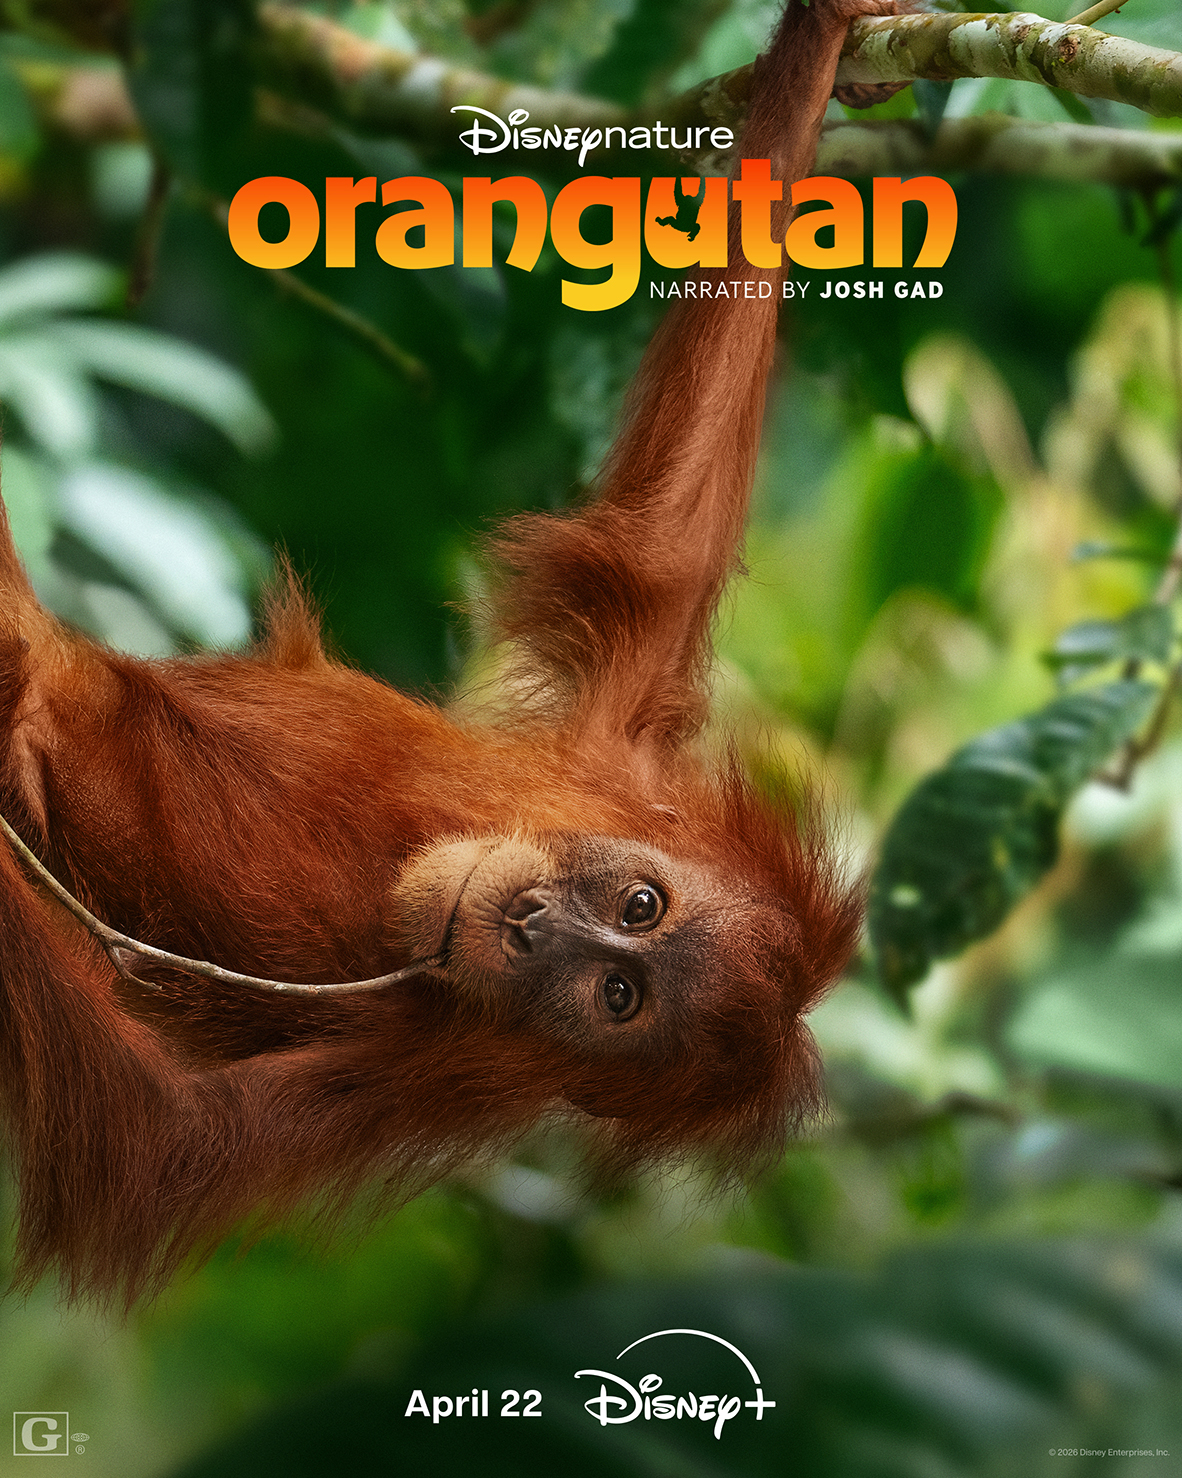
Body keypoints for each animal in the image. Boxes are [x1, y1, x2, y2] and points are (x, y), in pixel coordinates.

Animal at [0, 0, 901, 1301]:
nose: (531, 924)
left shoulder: (446, 1075)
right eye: (639, 904)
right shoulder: (620, 761)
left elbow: (159, 1145)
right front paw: (823, 42)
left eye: (616, 992)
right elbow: (668, 545)